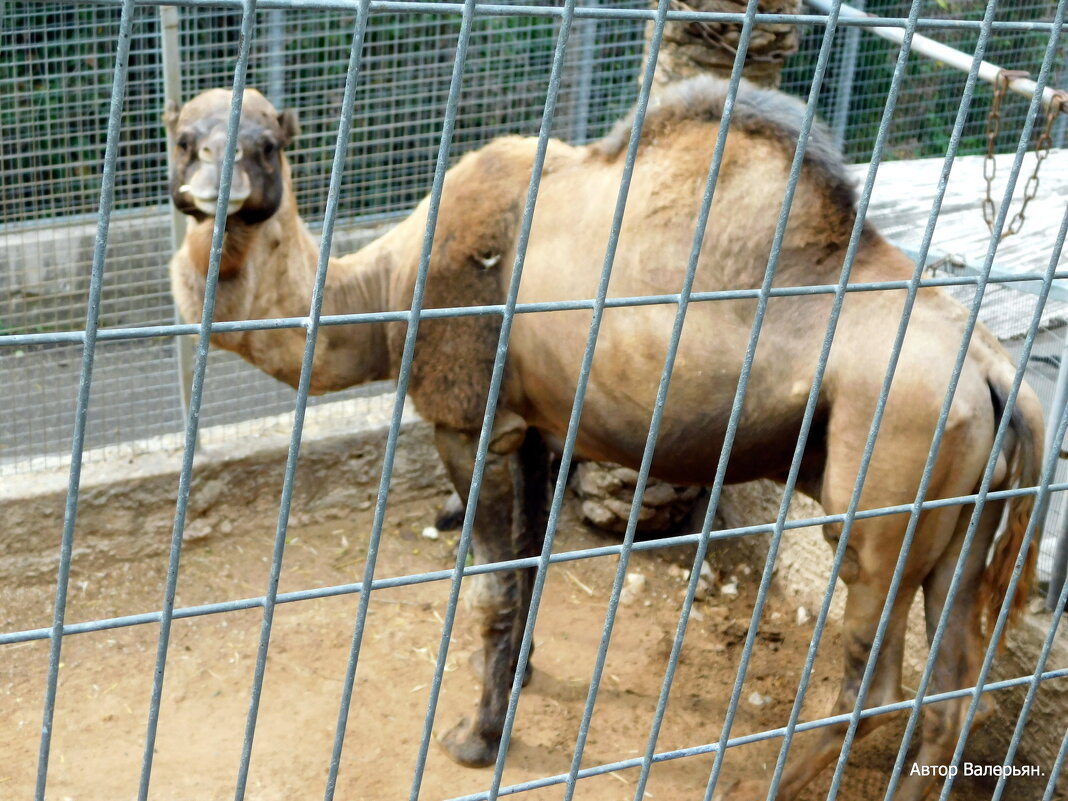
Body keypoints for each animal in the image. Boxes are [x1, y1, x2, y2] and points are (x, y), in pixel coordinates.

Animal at [166, 78, 1042, 798]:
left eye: (265, 144)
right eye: (184, 138)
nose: (214, 193)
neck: (385, 290)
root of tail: (998, 370)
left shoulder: (469, 417)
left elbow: (489, 587)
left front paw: (477, 736)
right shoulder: (537, 423)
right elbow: (527, 566)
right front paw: (517, 675)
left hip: (891, 467)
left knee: (876, 675)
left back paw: (747, 780)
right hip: (965, 501)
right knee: (955, 685)